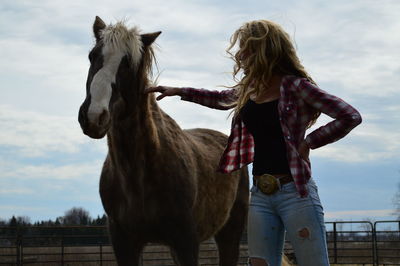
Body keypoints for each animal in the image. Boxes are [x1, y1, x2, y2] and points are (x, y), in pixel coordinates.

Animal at [77, 16, 250, 264]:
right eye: (92, 55)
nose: (94, 116)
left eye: (128, 63)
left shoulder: (186, 242)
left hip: (230, 233)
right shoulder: (124, 243)